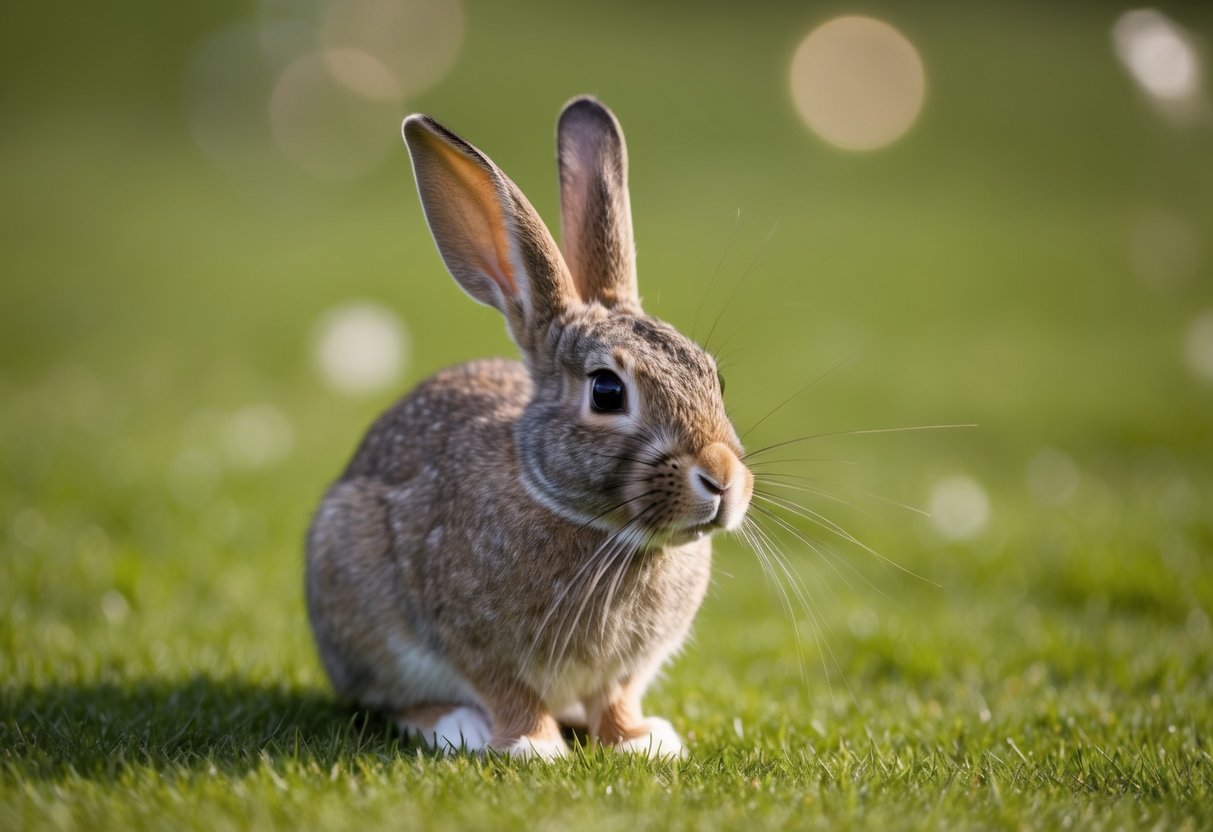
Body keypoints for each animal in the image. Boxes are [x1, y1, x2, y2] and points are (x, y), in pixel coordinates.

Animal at [305, 96, 753, 760]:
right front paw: (533, 746)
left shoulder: (627, 670)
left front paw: (641, 741)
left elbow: (616, 698)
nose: (723, 479)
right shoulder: (469, 637)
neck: (603, 531)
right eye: (607, 391)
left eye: (715, 380)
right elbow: (508, 690)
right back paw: (455, 725)